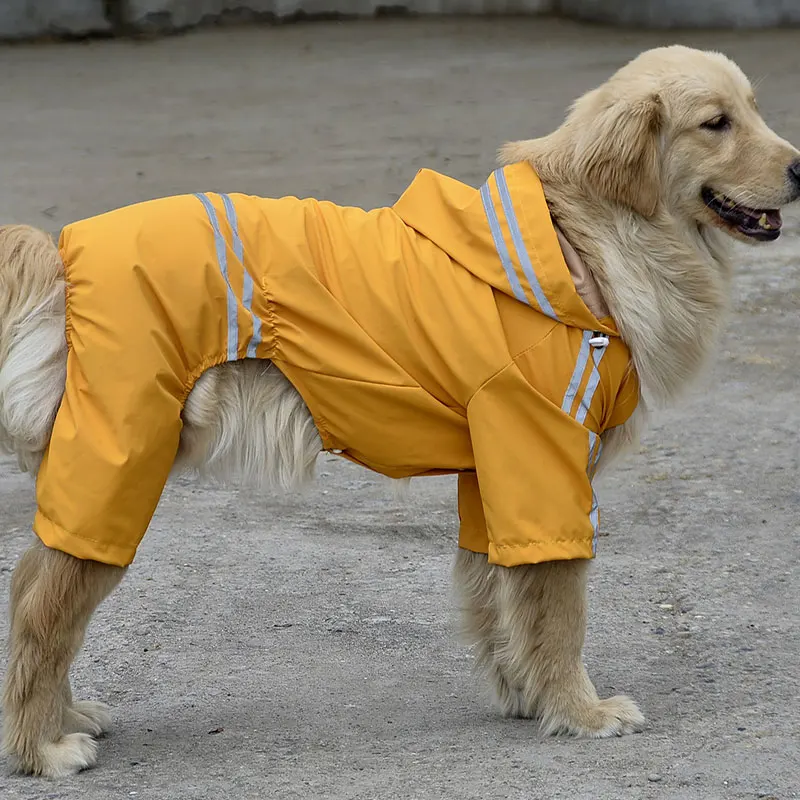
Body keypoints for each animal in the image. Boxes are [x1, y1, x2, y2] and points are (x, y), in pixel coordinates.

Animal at [1, 45, 800, 776]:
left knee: (36, 594)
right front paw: (581, 711)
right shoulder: (544, 467)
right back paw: (42, 746)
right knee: (43, 610)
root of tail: (64, 249)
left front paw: (525, 693)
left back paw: (66, 716)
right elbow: (559, 611)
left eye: (754, 109)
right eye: (717, 123)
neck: (582, 241)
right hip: (116, 470)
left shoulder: (496, 473)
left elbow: (499, 595)